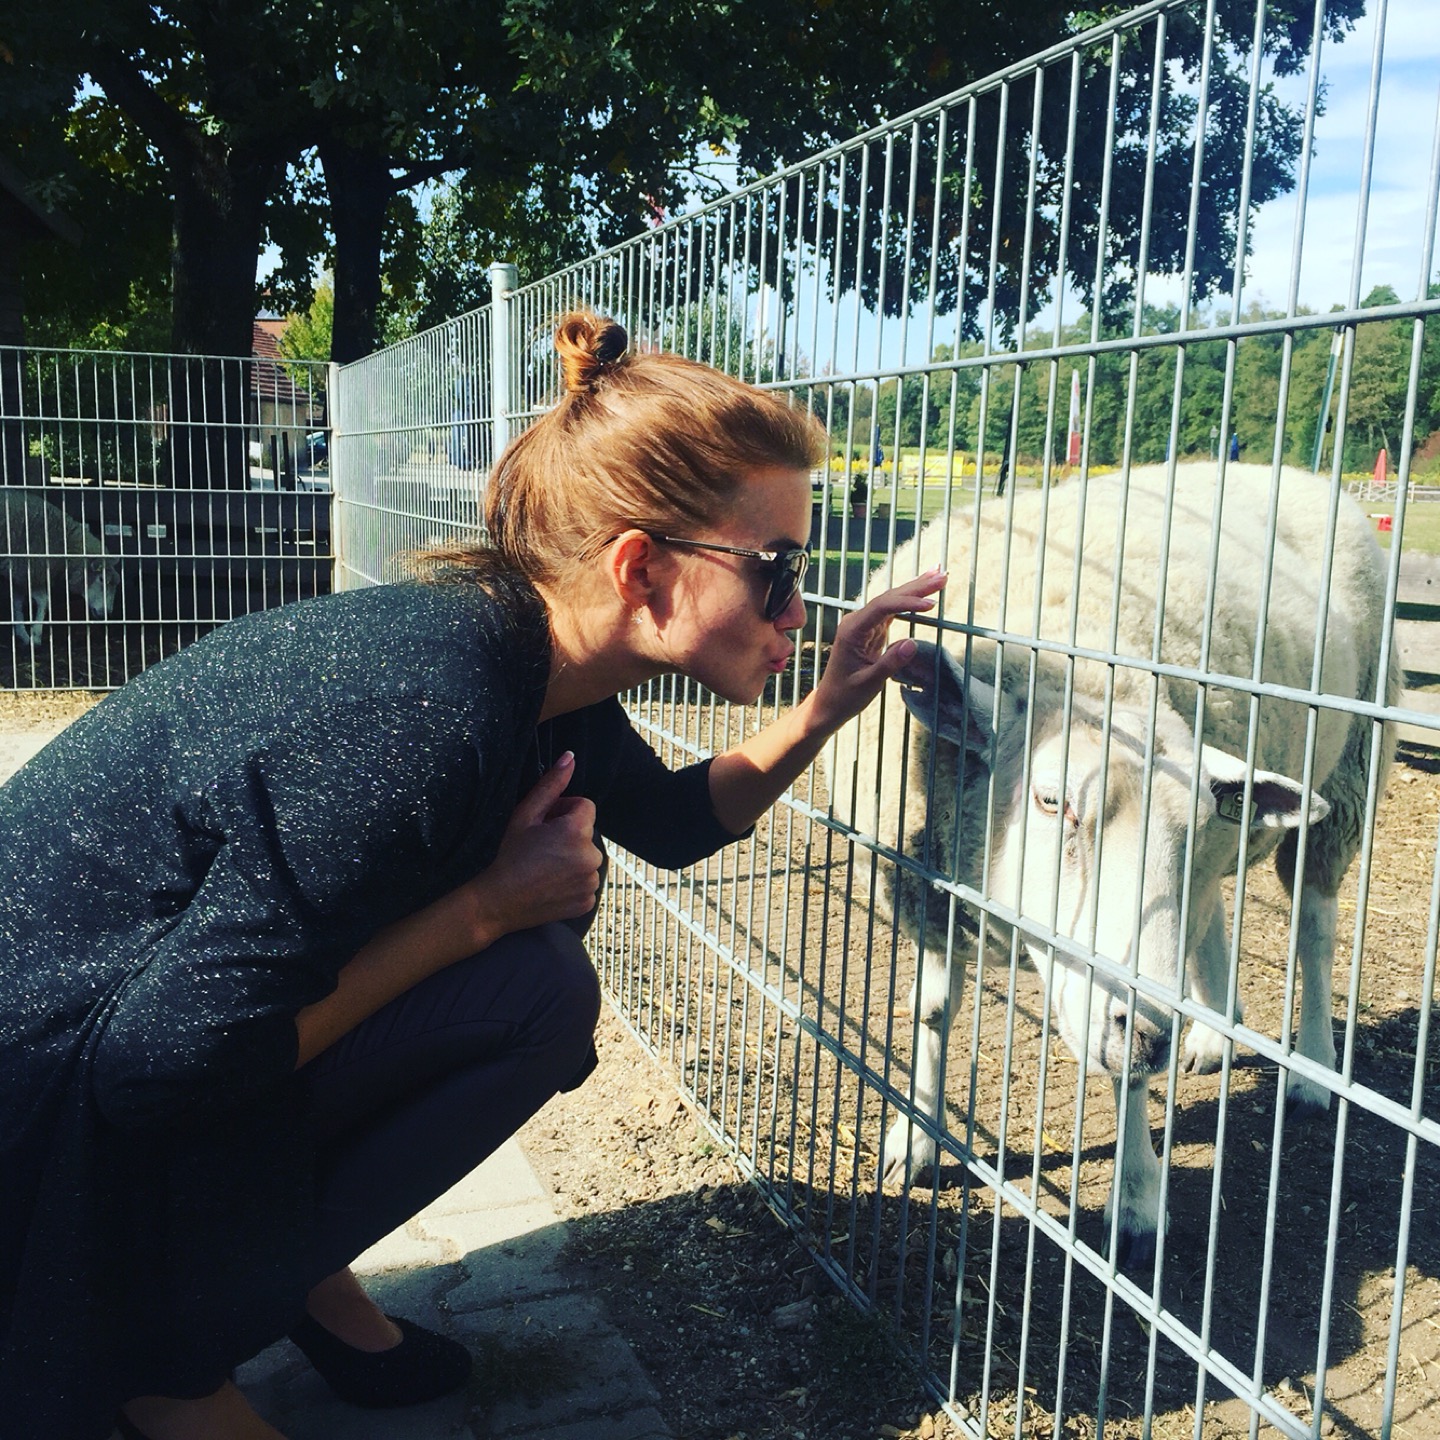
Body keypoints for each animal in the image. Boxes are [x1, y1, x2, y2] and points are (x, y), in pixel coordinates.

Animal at [1, 492, 119, 650]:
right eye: (102, 579)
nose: (107, 614)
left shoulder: (19, 573)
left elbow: (17, 604)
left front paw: (23, 635)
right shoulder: (30, 568)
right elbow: (44, 601)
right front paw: (35, 635)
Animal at [829, 463, 1399, 1272]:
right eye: (1050, 801)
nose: (1152, 1036)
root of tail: (1294, 472)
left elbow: (1129, 1086)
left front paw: (1136, 1197)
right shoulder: (932, 890)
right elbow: (933, 1011)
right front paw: (915, 1138)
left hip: (1350, 774)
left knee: (1312, 935)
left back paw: (1314, 1068)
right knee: (1212, 920)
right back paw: (1213, 1034)